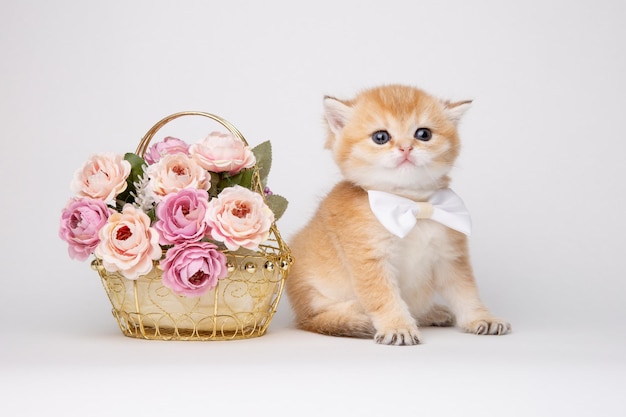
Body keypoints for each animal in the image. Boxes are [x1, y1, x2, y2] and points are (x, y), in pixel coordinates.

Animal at [286, 83, 510, 344]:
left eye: (423, 134)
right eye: (381, 137)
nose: (406, 148)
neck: (410, 205)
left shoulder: (450, 256)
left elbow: (466, 291)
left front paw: (482, 317)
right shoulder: (370, 259)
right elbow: (384, 298)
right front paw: (398, 326)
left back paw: (431, 313)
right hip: (313, 300)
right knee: (320, 318)